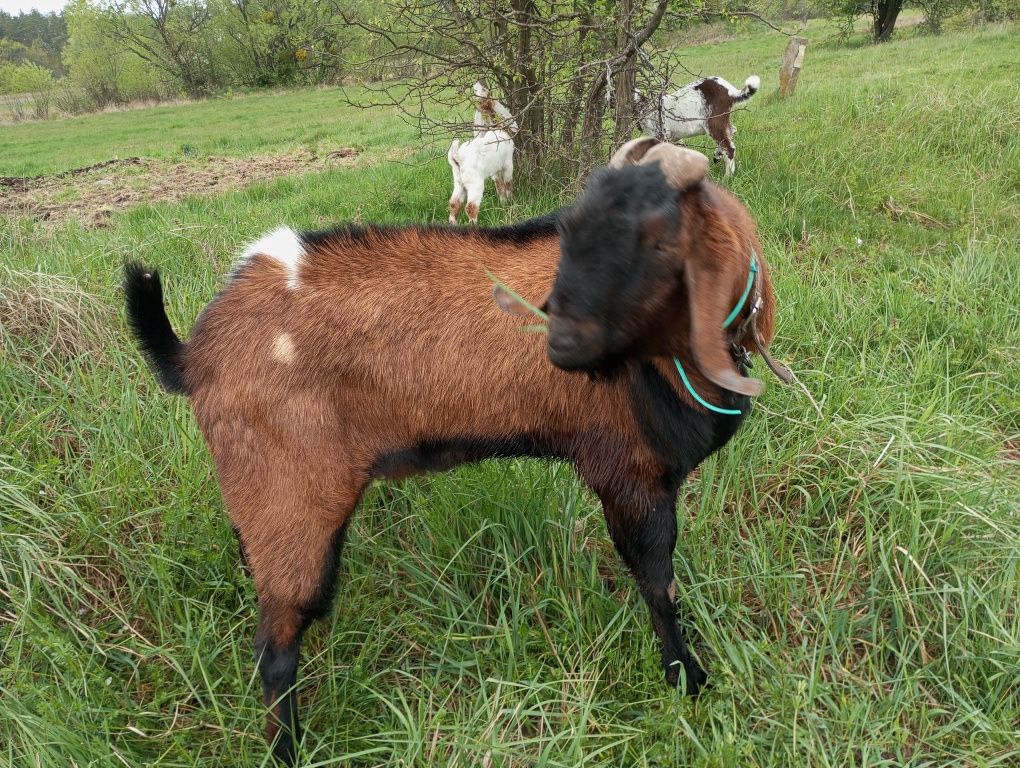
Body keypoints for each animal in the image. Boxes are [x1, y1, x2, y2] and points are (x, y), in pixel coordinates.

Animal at [125, 136, 779, 762]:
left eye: (661, 241)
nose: (560, 341)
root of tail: (194, 353)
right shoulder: (631, 474)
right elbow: (659, 586)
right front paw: (688, 680)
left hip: (257, 497)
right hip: (292, 500)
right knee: (276, 649)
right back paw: (288, 751)